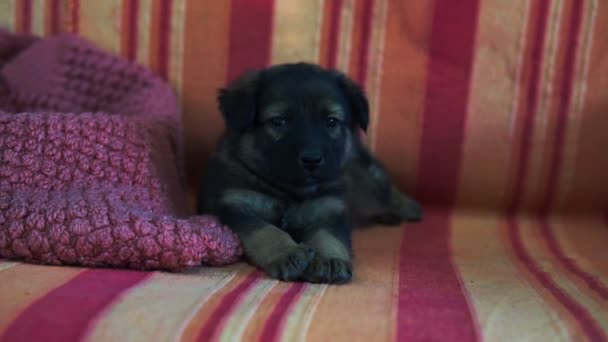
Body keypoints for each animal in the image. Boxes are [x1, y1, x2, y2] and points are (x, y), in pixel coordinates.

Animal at [197, 62, 420, 284]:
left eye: (331, 121)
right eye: (278, 122)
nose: (312, 159)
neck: (288, 193)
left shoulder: (328, 211)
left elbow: (328, 236)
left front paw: (329, 259)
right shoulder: (235, 208)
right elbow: (266, 231)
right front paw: (286, 252)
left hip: (369, 184)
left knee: (384, 189)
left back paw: (407, 208)